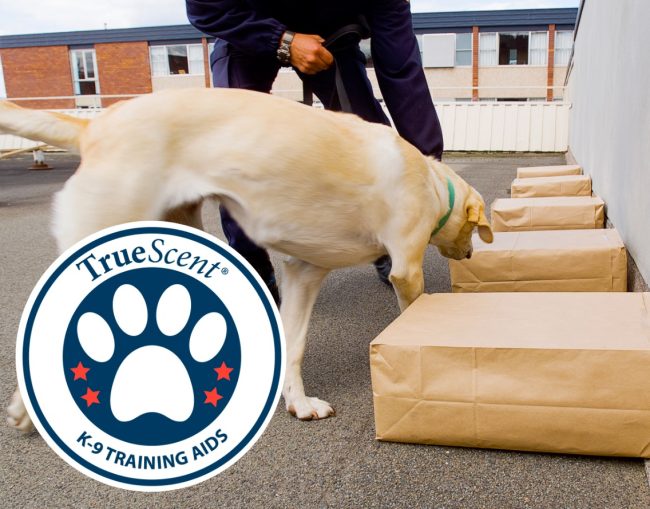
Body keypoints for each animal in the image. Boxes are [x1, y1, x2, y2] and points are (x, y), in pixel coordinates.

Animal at [1, 88, 492, 428]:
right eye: (472, 231)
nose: (470, 251)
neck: (433, 183)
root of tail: (96, 126)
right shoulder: (406, 269)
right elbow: (410, 309)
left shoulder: (302, 274)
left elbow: (294, 343)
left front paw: (297, 402)